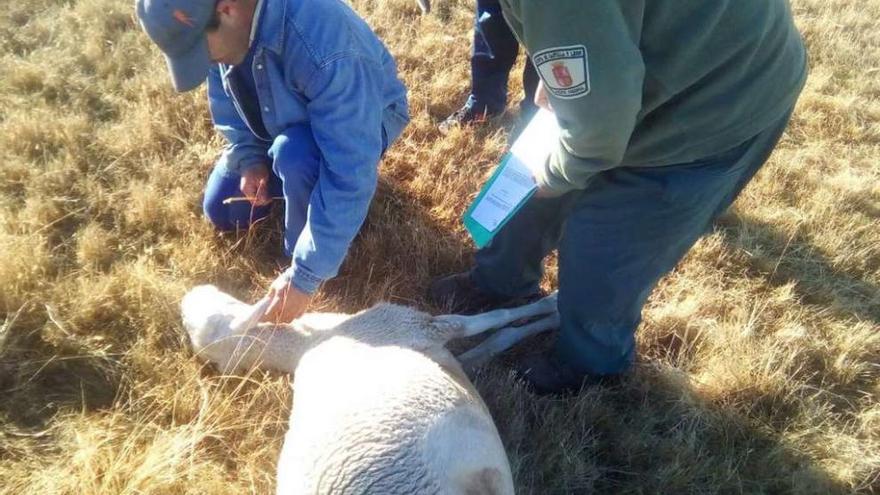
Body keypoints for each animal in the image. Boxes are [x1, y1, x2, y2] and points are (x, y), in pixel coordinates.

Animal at [182, 284, 560, 494]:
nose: (187, 297)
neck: (305, 344)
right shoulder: (411, 325)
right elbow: (495, 319)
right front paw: (555, 305)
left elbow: (493, 343)